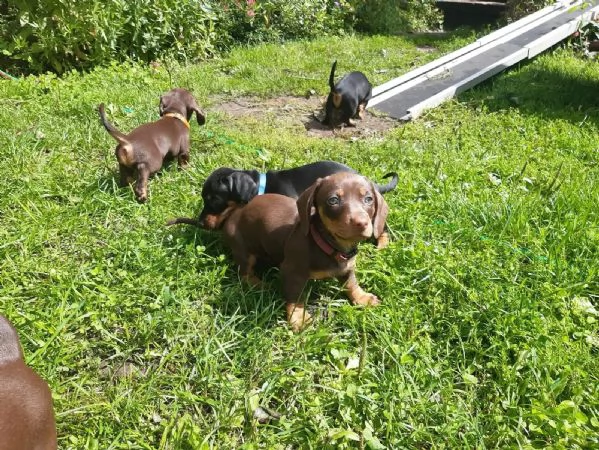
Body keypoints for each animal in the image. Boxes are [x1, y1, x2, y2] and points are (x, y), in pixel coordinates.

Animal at [220, 171, 390, 330]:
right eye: (333, 200)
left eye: (368, 199)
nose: (361, 223)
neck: (325, 243)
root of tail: (233, 214)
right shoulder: (292, 272)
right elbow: (295, 296)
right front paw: (298, 317)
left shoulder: (347, 268)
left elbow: (351, 284)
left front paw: (362, 297)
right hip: (243, 250)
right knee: (244, 273)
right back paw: (260, 284)